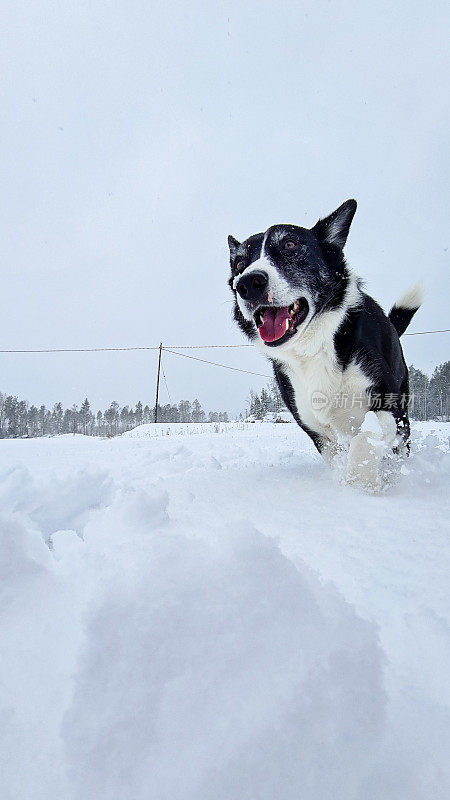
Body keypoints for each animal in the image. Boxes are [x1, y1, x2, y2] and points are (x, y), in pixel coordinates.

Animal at [227, 200, 424, 488]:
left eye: (290, 245)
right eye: (240, 263)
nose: (247, 283)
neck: (313, 348)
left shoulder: (388, 406)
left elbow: (365, 439)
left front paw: (364, 483)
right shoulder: (316, 429)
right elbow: (338, 456)